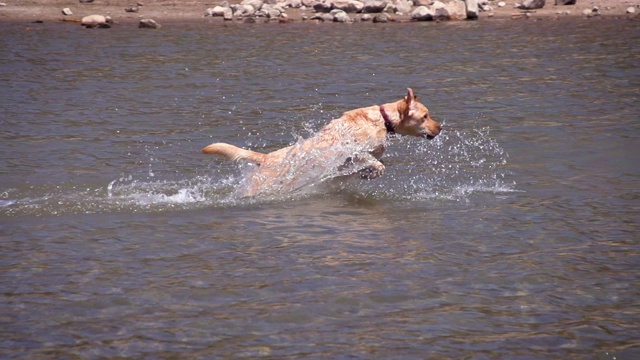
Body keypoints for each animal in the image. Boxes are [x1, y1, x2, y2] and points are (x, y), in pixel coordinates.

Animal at [202, 89, 442, 197]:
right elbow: (376, 163)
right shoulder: (353, 150)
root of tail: (266, 157)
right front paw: (373, 170)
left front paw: (368, 174)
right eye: (425, 116)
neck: (383, 121)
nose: (440, 127)